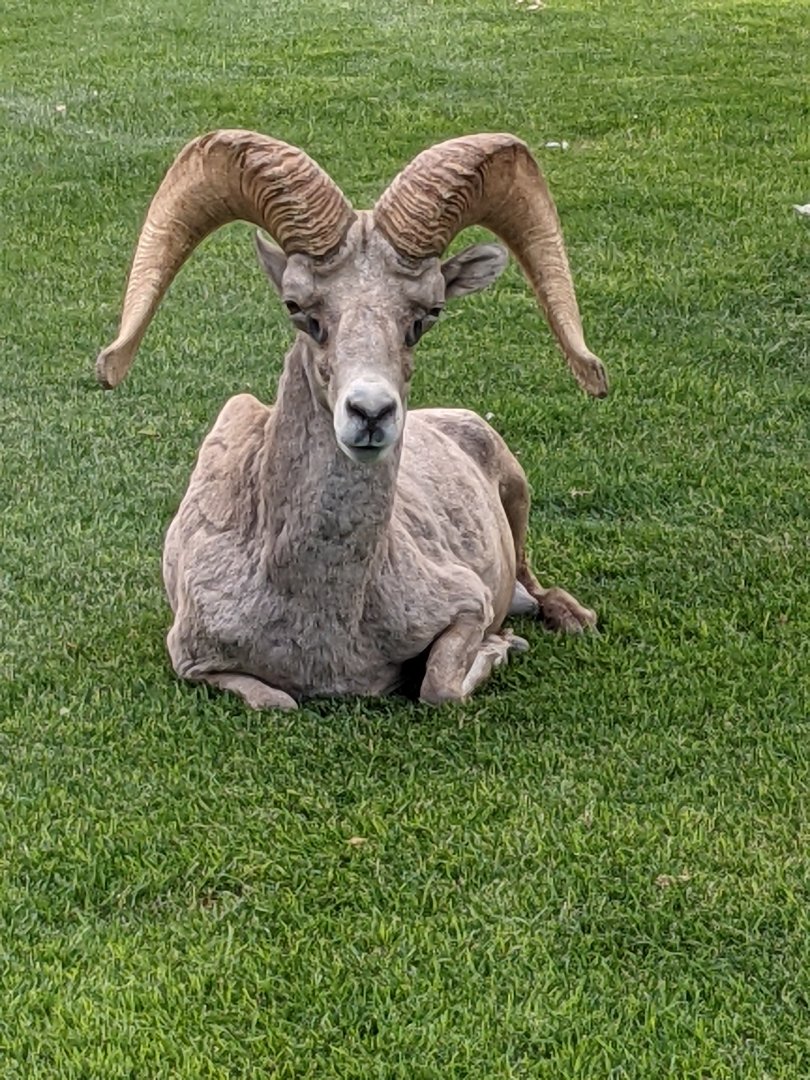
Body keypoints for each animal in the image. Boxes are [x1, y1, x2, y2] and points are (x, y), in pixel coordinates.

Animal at [97, 130, 608, 709]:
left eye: (427, 316)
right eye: (298, 307)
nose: (370, 412)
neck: (320, 612)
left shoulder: (467, 605)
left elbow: (439, 687)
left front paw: (502, 646)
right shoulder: (193, 661)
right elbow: (277, 702)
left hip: (517, 494)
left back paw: (572, 618)